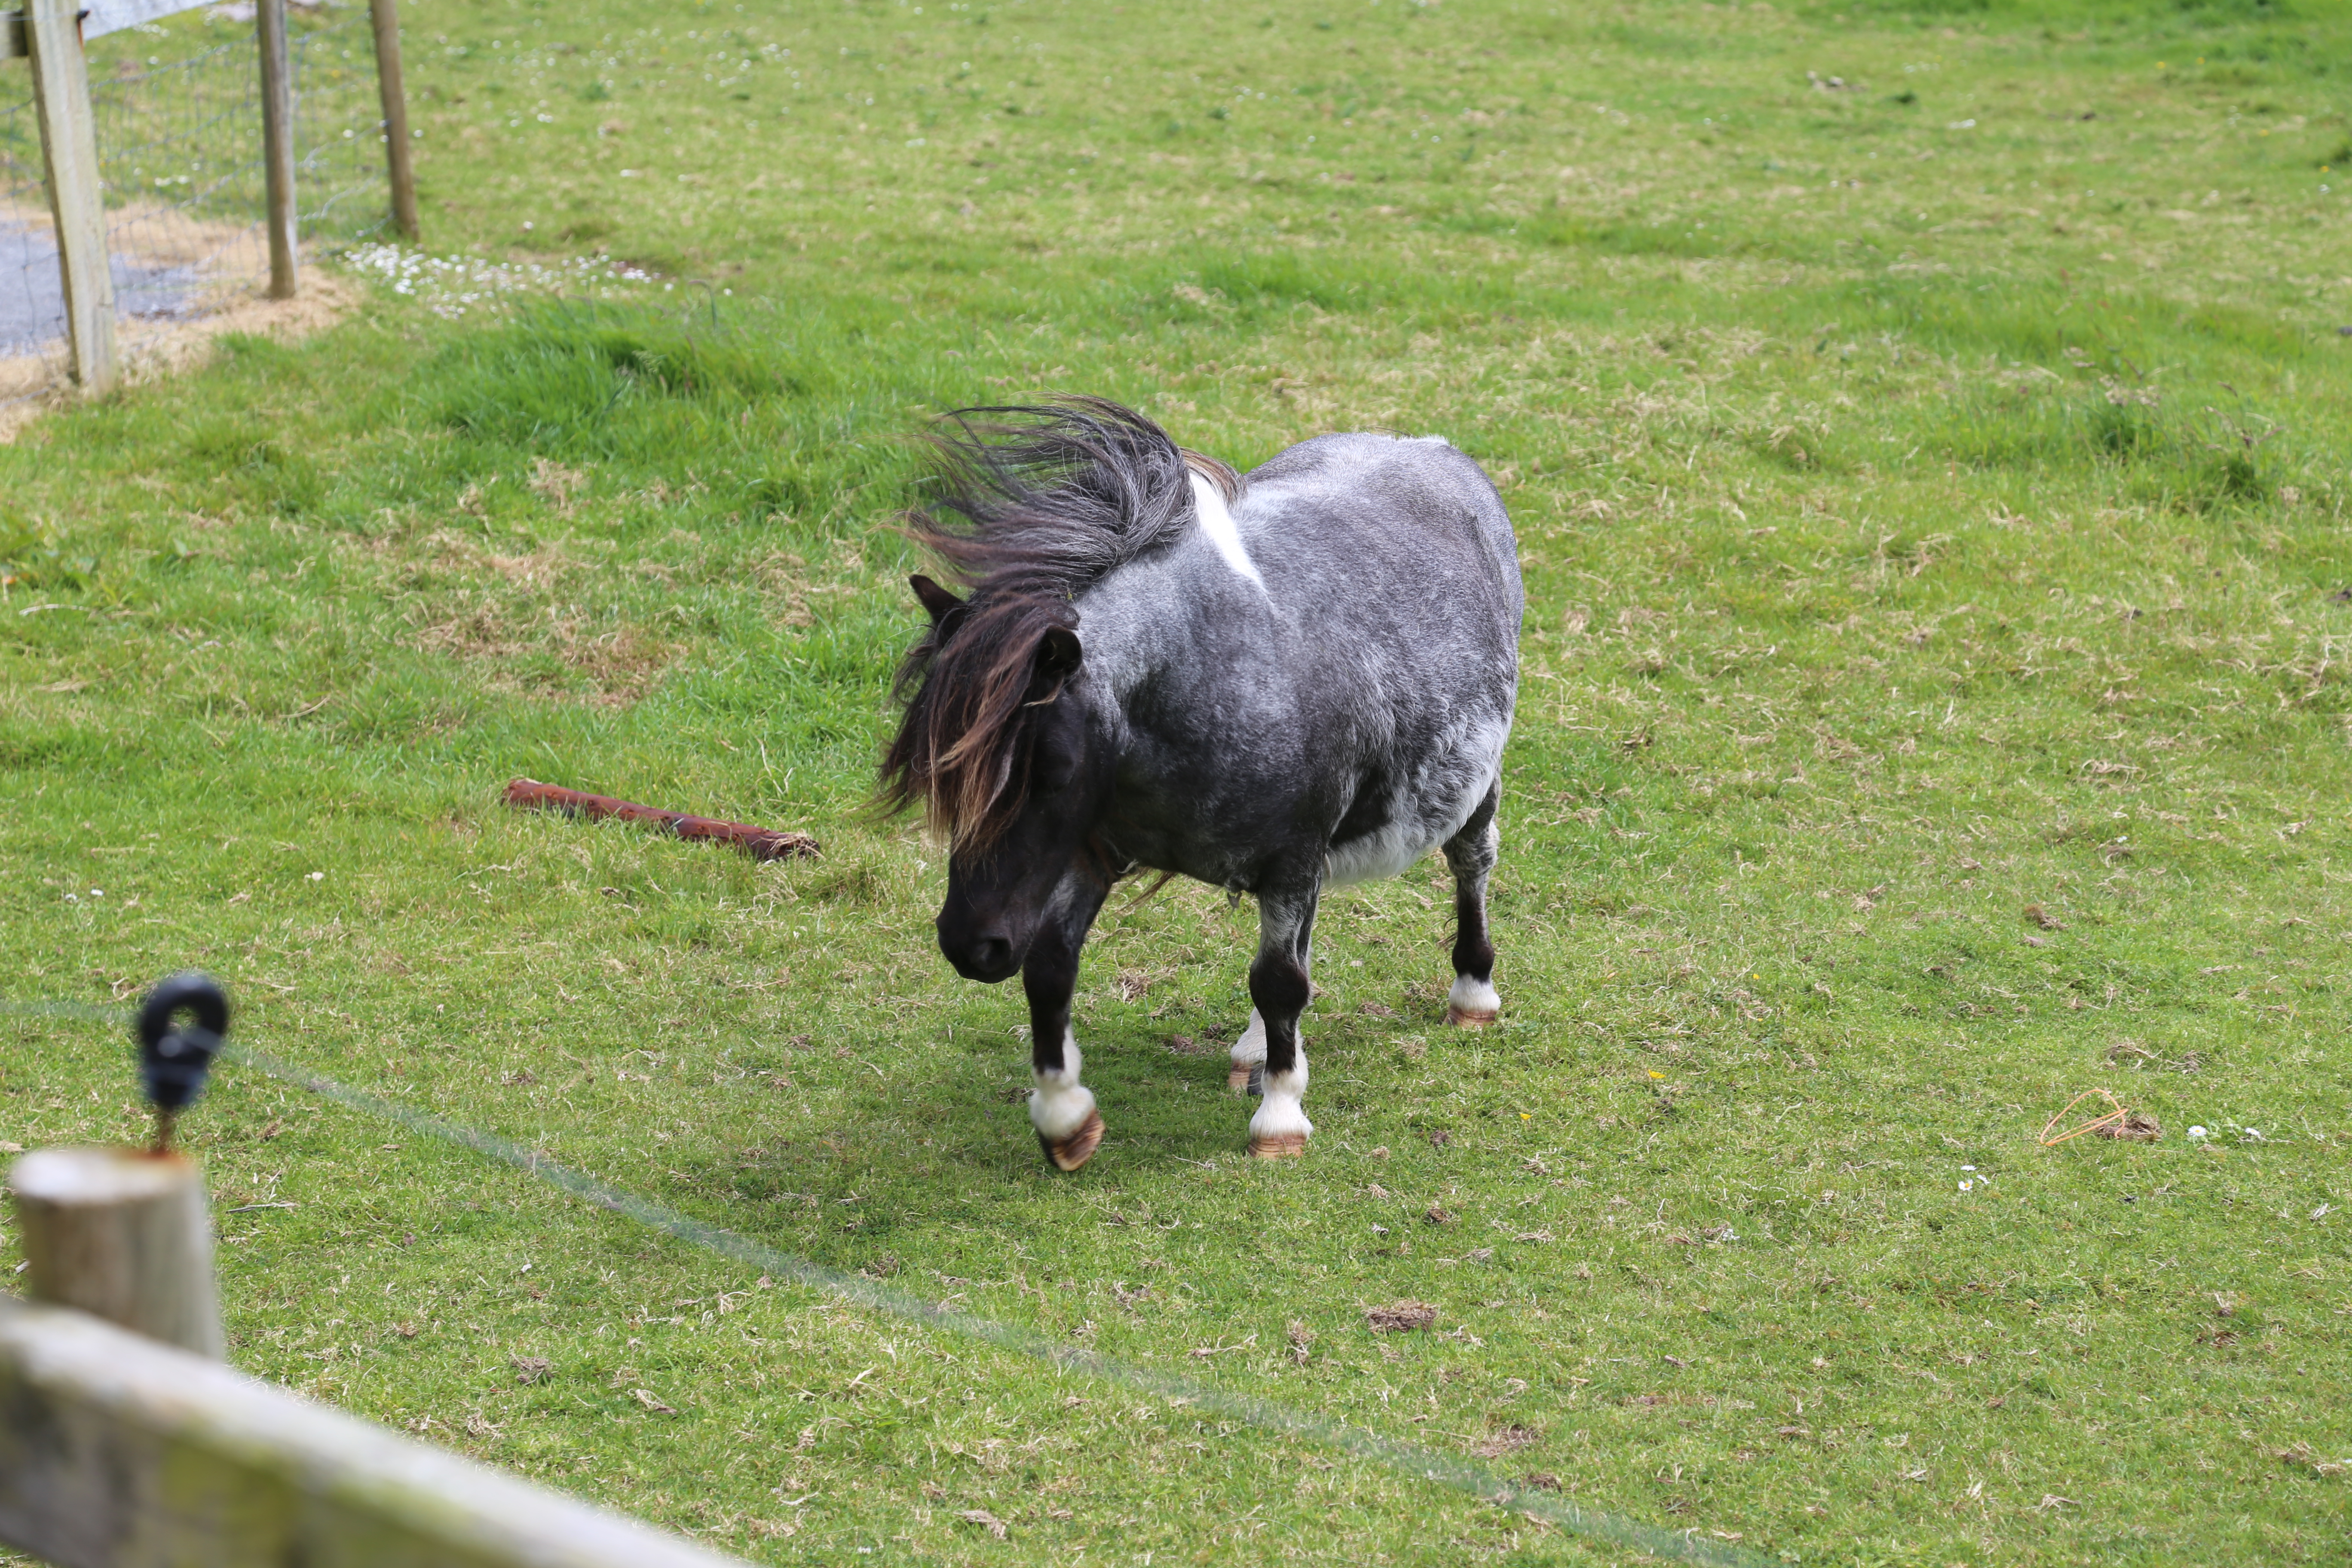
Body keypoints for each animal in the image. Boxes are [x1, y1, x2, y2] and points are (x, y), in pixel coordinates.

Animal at [884, 399, 1524, 1170]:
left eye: (1051, 770)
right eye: (939, 774)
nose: (970, 946)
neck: (1205, 676)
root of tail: (1436, 452)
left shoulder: (1289, 858)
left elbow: (1278, 982)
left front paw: (1281, 1118)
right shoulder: (1095, 851)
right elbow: (1050, 967)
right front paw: (1066, 1119)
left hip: (1471, 790)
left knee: (1470, 864)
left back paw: (1471, 993)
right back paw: (1255, 1050)